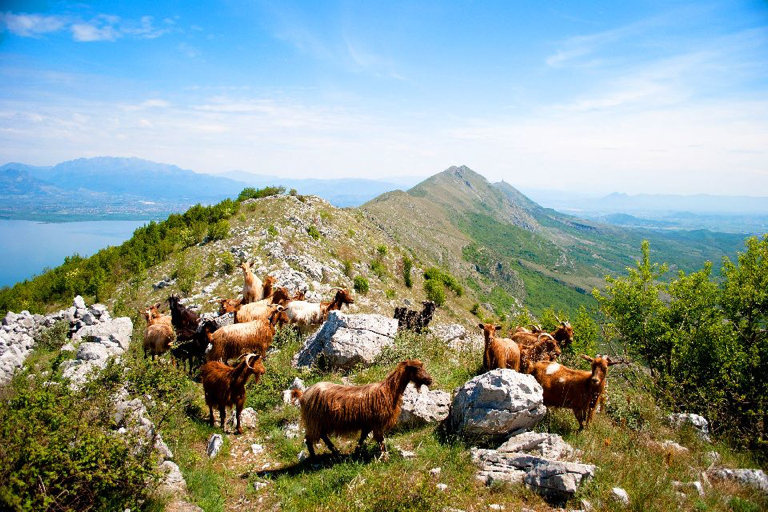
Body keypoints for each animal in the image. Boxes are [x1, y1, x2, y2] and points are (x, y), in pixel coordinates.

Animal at [294, 358, 432, 458]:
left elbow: (362, 438)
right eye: (416, 368)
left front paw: (357, 452)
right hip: (314, 420)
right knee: (309, 439)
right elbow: (381, 440)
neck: (388, 390)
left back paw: (336, 452)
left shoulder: (368, 423)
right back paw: (314, 458)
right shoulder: (377, 422)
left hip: (320, 421)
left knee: (321, 436)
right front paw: (385, 457)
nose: (430, 380)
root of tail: (303, 395)